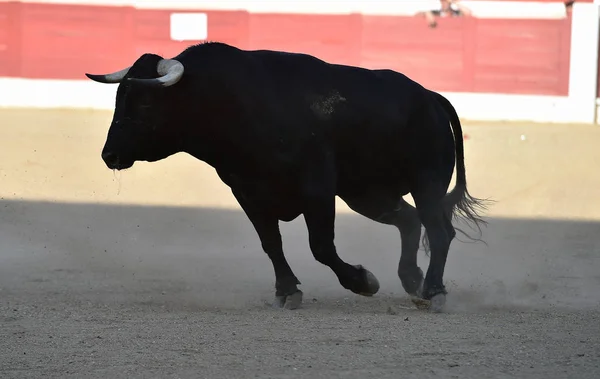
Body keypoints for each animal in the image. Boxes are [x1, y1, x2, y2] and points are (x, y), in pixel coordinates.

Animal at [85, 43, 488, 314]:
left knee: (439, 230)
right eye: (120, 98)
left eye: (146, 102)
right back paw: (412, 280)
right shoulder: (246, 191)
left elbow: (321, 246)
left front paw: (363, 281)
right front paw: (287, 291)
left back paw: (434, 292)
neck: (236, 103)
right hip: (366, 193)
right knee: (408, 220)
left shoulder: (317, 189)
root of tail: (430, 97)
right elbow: (271, 243)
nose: (109, 155)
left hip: (427, 182)